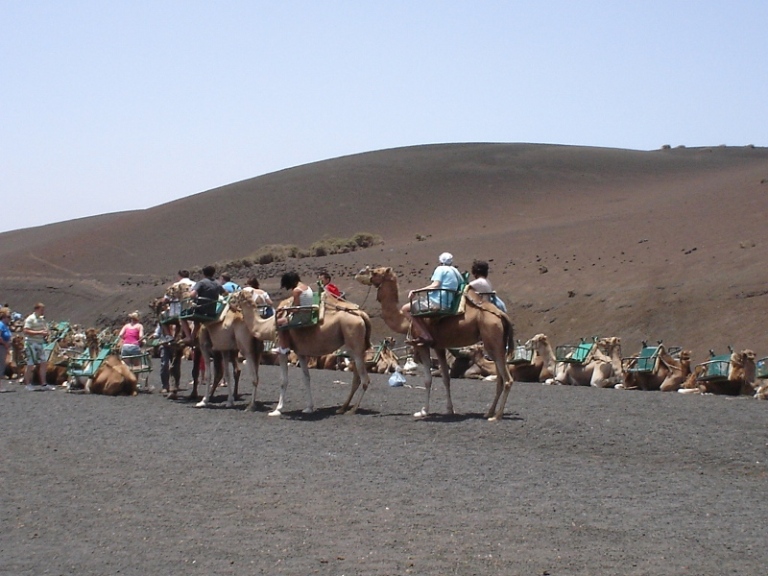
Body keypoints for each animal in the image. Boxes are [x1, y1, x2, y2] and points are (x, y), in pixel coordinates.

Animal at [228, 286, 372, 414]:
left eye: (239, 293)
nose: (229, 299)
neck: (268, 326)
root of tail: (361, 314)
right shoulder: (300, 352)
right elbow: (306, 378)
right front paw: (309, 408)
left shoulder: (282, 349)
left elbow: (283, 380)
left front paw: (277, 409)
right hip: (352, 348)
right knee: (356, 378)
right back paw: (342, 408)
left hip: (355, 342)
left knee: (365, 379)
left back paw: (352, 410)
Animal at [356, 266, 516, 424]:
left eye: (376, 271)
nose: (360, 273)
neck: (405, 322)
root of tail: (501, 315)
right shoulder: (439, 346)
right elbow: (446, 378)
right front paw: (449, 409)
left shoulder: (422, 345)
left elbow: (428, 380)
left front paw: (423, 411)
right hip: (495, 344)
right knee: (500, 379)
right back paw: (489, 412)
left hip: (492, 339)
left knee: (507, 379)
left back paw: (497, 416)